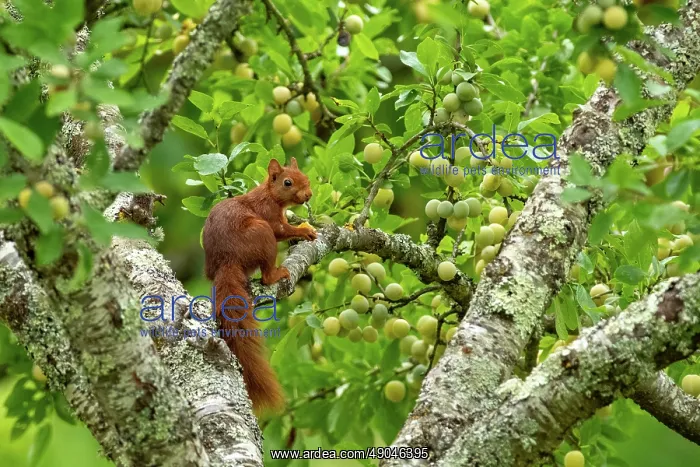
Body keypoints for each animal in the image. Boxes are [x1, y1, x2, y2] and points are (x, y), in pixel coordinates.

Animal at [202, 157, 317, 413]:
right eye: (287, 182)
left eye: (306, 178)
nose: (308, 195)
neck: (270, 196)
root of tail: (227, 260)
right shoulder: (269, 215)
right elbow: (281, 230)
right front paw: (304, 230)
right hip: (261, 234)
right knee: (265, 275)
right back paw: (275, 274)